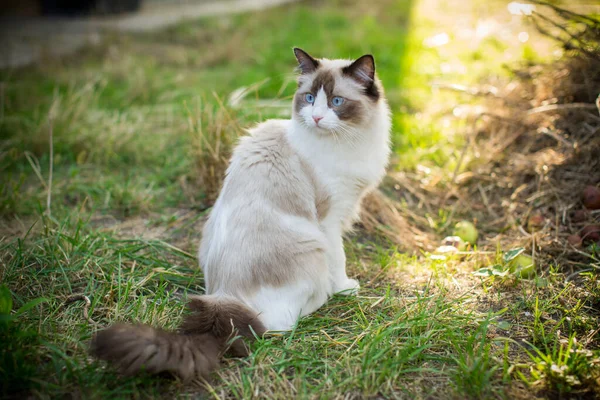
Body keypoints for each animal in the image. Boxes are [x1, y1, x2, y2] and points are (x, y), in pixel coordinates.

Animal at [91, 48, 392, 380]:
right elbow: (340, 261)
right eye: (311, 98)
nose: (315, 117)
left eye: (336, 101)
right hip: (312, 243)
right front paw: (345, 288)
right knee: (280, 325)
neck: (349, 143)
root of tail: (223, 298)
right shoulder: (330, 220)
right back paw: (323, 298)